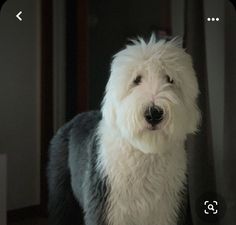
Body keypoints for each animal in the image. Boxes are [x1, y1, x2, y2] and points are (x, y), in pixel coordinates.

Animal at [48, 34, 201, 225]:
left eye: (169, 79)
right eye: (136, 79)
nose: (154, 113)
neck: (145, 153)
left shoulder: (168, 209)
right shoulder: (107, 206)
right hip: (61, 190)